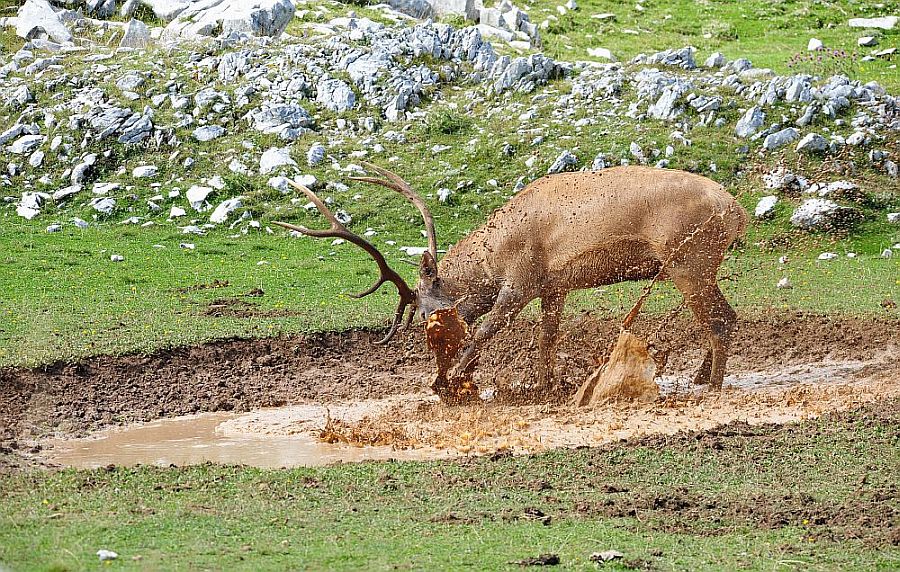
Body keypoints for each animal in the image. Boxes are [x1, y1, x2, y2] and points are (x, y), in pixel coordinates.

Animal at [272, 163, 744, 400]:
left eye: (426, 317)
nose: (434, 370)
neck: (495, 255)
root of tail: (737, 211)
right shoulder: (554, 285)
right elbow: (547, 336)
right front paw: (544, 384)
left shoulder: (520, 280)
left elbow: (487, 328)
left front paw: (448, 382)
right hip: (699, 264)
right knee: (725, 315)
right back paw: (700, 376)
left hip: (689, 261)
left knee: (720, 317)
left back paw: (712, 385)